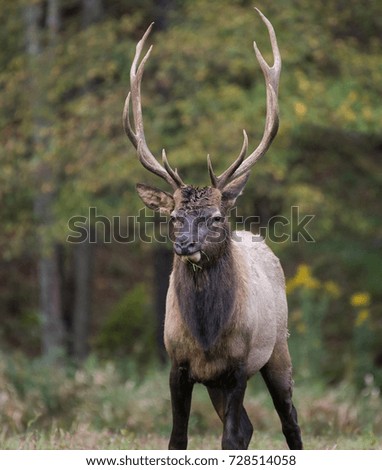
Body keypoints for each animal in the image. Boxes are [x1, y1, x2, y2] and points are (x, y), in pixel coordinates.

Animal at [124, 9, 302, 450]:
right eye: (173, 217)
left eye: (216, 218)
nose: (185, 245)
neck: (207, 337)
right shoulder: (177, 364)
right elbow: (177, 438)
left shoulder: (239, 365)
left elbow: (231, 438)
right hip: (220, 381)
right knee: (253, 426)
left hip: (279, 347)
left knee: (289, 418)